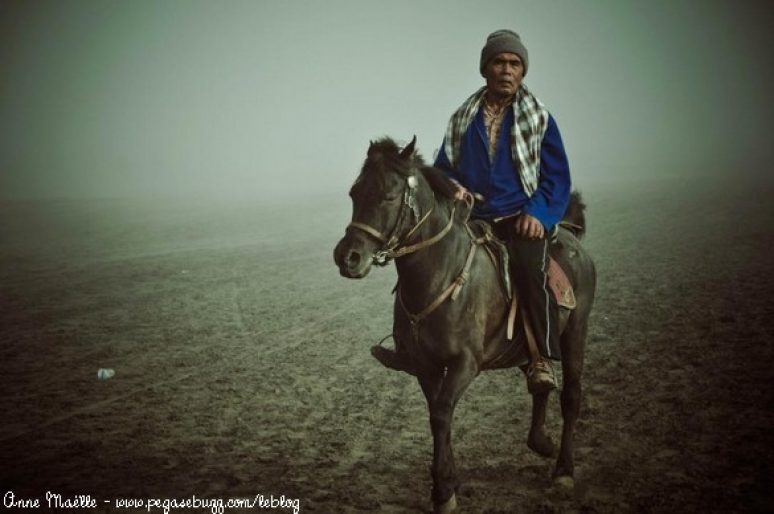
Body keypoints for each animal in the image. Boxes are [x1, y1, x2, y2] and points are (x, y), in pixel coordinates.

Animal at [334, 136, 600, 512]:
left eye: (388, 195)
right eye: (354, 193)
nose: (347, 257)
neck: (440, 273)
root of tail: (572, 237)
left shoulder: (464, 364)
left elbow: (442, 413)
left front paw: (444, 491)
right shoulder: (426, 367)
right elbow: (436, 416)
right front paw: (447, 484)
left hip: (576, 333)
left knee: (572, 396)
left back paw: (564, 470)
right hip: (525, 350)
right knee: (540, 386)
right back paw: (540, 441)